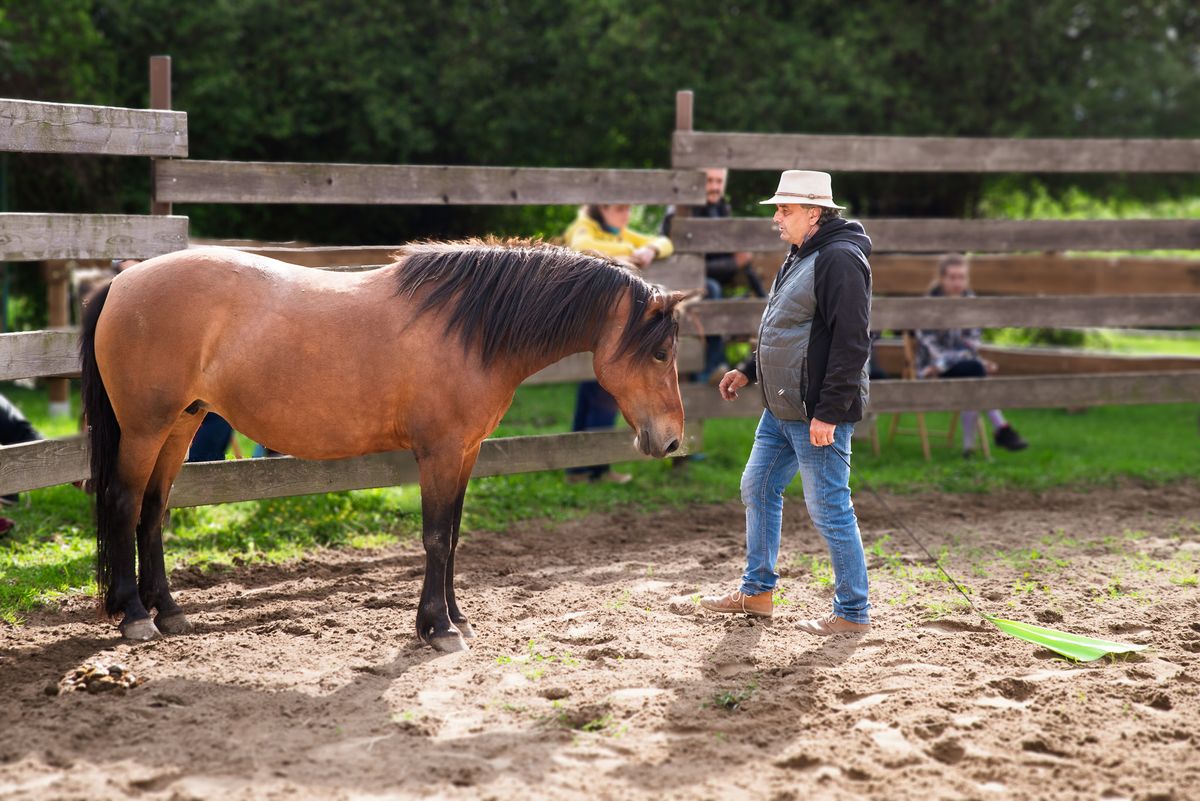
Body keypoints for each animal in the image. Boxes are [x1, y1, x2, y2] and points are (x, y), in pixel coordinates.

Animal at [82, 237, 686, 652]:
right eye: (660, 353)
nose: (673, 440)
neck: (470, 329)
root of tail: (124, 281)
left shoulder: (466, 453)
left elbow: (454, 537)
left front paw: (456, 618)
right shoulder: (439, 454)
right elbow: (437, 538)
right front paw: (438, 628)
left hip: (180, 426)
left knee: (153, 511)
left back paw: (167, 610)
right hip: (145, 429)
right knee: (123, 504)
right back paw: (134, 615)